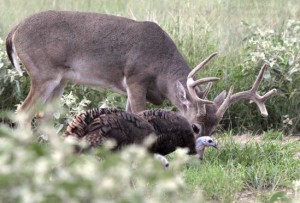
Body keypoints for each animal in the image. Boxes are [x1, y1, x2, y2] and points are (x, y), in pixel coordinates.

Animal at [5, 11, 276, 138]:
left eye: (215, 127)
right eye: (196, 127)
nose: (203, 151)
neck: (161, 67)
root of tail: (15, 29)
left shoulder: (129, 88)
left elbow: (127, 116)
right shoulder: (136, 79)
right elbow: (139, 115)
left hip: (60, 80)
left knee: (43, 116)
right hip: (42, 74)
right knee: (23, 112)